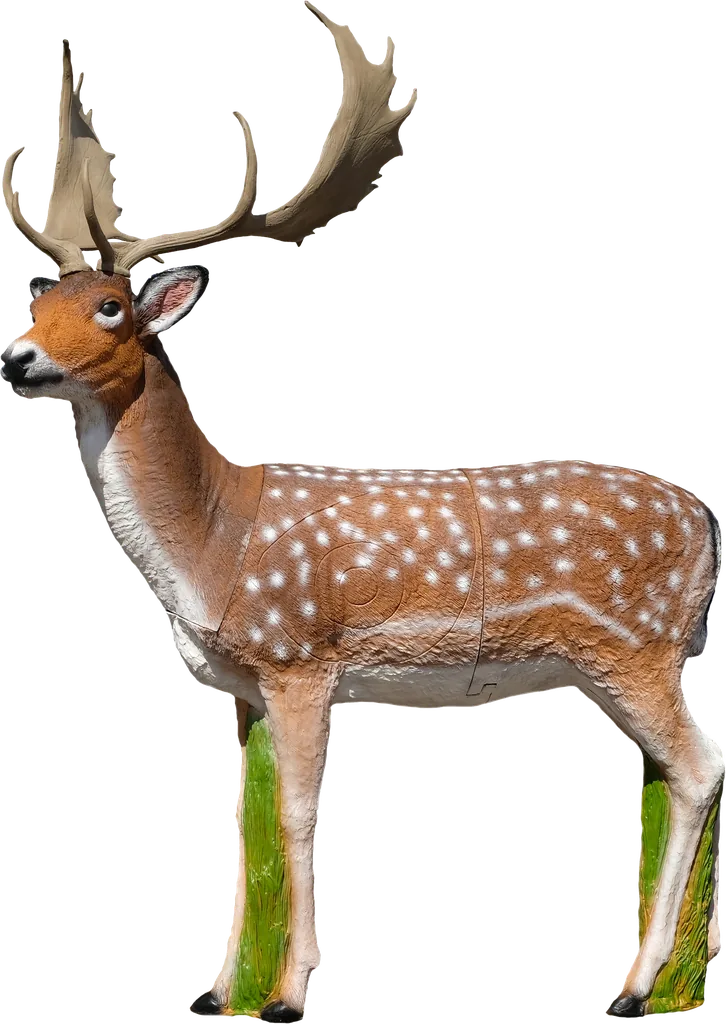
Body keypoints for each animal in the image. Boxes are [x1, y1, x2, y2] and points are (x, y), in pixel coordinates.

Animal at [1, 4, 722, 1021]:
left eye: (109, 307)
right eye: (39, 297)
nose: (15, 359)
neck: (213, 542)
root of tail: (708, 524)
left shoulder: (304, 655)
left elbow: (299, 814)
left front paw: (288, 994)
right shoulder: (241, 682)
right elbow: (244, 821)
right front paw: (213, 989)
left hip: (635, 644)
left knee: (700, 768)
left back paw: (638, 987)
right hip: (634, 658)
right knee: (669, 775)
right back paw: (674, 974)